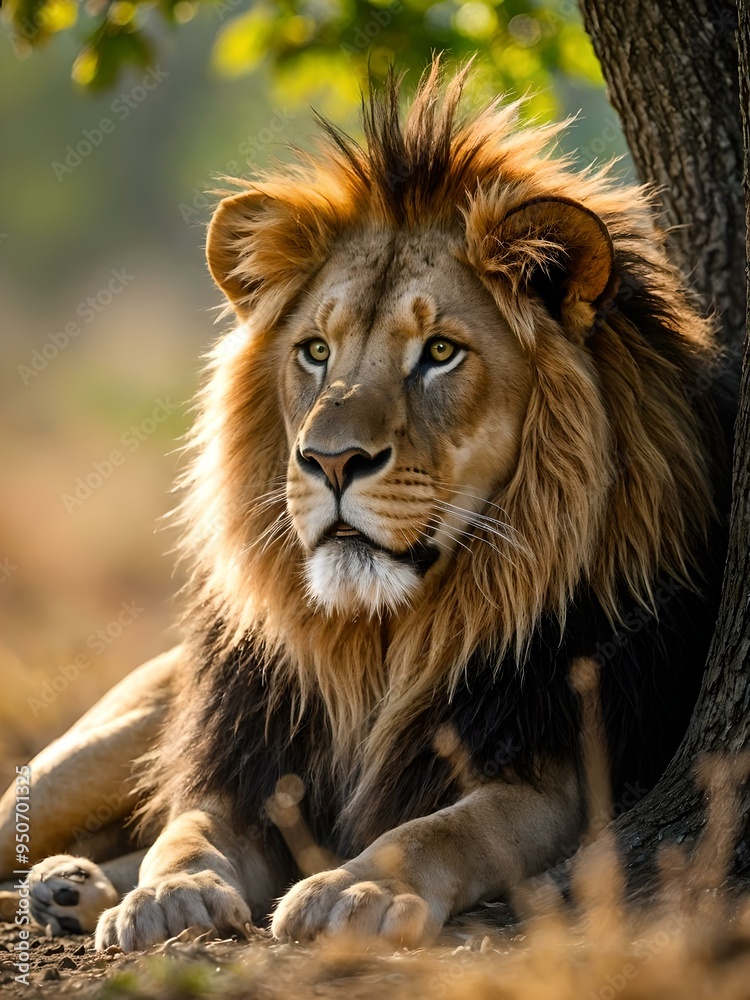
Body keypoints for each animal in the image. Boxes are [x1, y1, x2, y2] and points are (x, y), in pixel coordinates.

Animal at [0, 62, 735, 950]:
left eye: (441, 352)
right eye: (316, 351)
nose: (329, 460)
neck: (384, 643)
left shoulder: (564, 768)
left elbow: (444, 829)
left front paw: (352, 890)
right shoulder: (246, 763)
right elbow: (186, 829)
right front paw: (168, 895)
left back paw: (69, 889)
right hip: (89, 755)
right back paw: (69, 885)